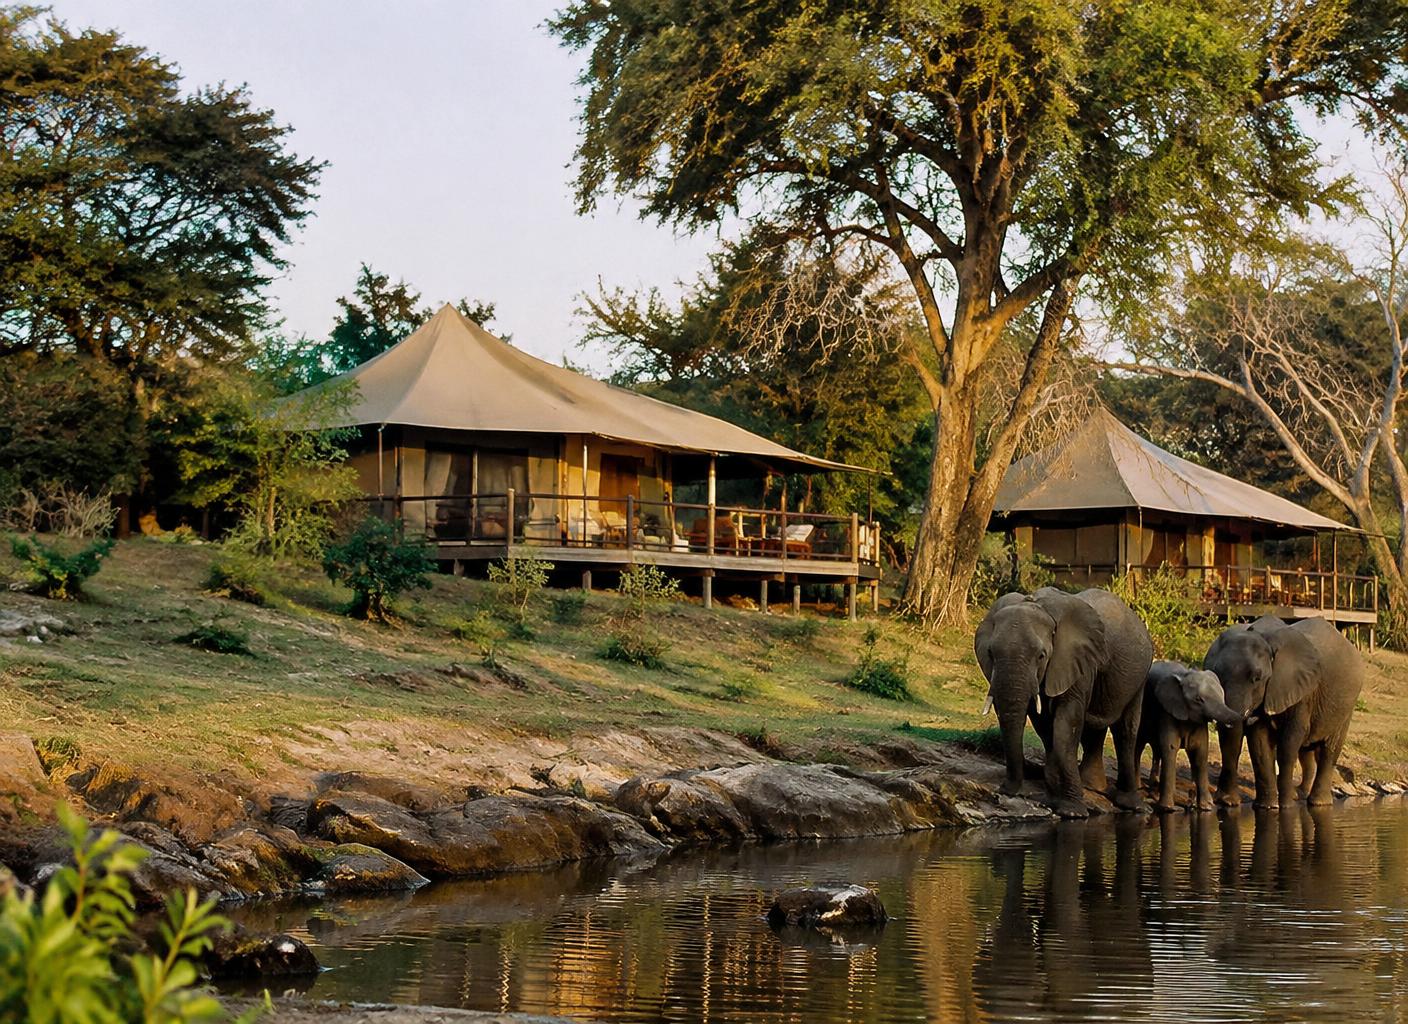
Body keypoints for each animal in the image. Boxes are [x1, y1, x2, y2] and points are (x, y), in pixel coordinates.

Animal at [974, 587, 1153, 818]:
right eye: (990, 653)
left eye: (1041, 656)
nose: (1004, 790)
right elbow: (1043, 723)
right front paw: (1053, 795)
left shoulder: (1077, 660)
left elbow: (1066, 723)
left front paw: (1072, 811)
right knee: (1094, 729)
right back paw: (1091, 786)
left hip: (1140, 677)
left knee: (1125, 732)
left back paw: (1133, 805)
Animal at [1135, 660, 1243, 813]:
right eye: (1198, 699)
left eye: (1222, 695)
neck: (1185, 675)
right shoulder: (1167, 711)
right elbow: (1170, 747)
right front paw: (1167, 808)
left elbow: (1200, 752)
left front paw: (1206, 807)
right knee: (1139, 746)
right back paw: (1139, 786)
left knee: (1156, 751)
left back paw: (1154, 787)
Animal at [1205, 614, 1364, 809]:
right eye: (1216, 674)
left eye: (1257, 678)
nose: (1223, 801)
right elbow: (1259, 743)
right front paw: (1267, 806)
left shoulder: (1302, 692)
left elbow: (1290, 741)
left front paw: (1286, 806)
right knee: (1306, 751)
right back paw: (1299, 794)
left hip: (1347, 706)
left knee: (1329, 750)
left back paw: (1318, 803)